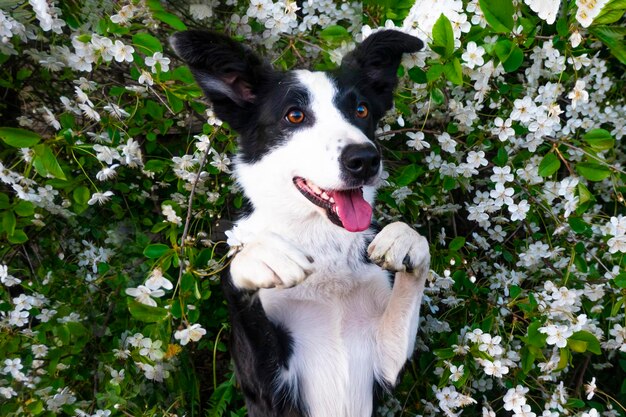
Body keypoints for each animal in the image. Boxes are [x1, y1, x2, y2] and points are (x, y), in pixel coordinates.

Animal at [172, 29, 428, 416]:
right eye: (294, 115)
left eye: (361, 109)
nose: (365, 159)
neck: (320, 238)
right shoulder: (268, 388)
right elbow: (237, 274)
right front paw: (260, 258)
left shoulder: (385, 359)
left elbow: (415, 253)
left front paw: (404, 239)